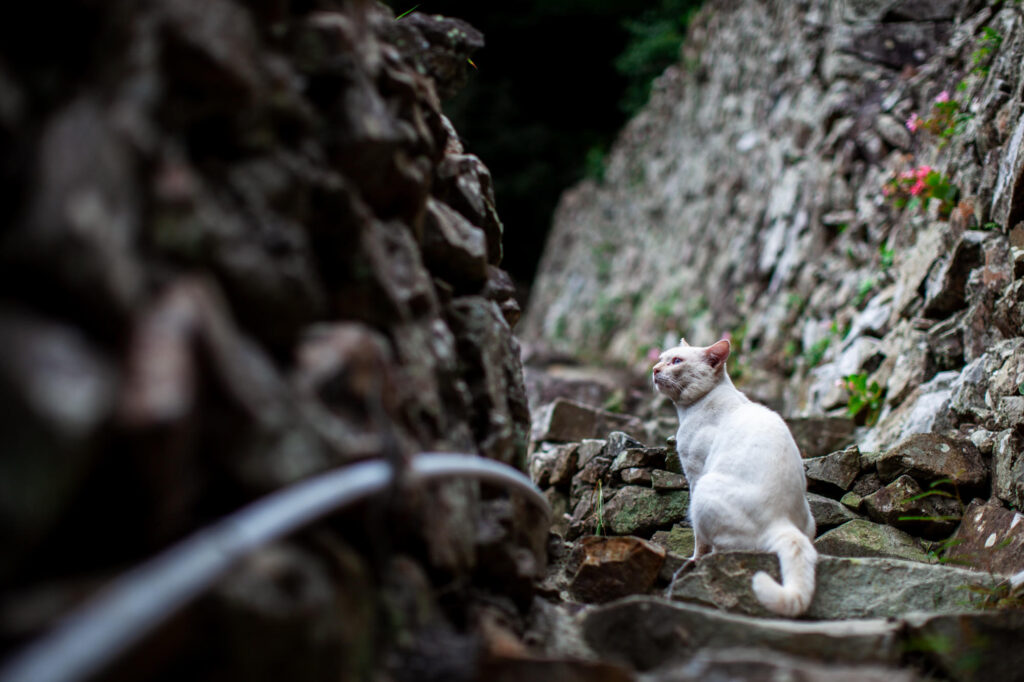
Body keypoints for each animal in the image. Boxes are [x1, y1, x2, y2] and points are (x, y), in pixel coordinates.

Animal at [655, 335, 815, 614]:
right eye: (662, 358)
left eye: (676, 361)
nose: (654, 369)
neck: (689, 410)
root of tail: (782, 521)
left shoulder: (694, 473)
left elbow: (698, 541)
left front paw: (693, 559)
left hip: (704, 489)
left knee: (721, 547)